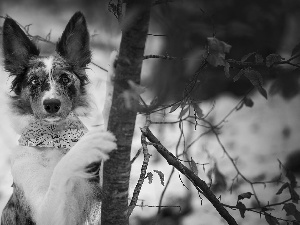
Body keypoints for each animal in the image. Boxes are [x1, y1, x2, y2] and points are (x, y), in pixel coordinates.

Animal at [0, 11, 116, 224]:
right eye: (34, 81)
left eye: (64, 78)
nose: (52, 104)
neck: (54, 138)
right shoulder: (45, 214)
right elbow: (60, 171)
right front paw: (83, 147)